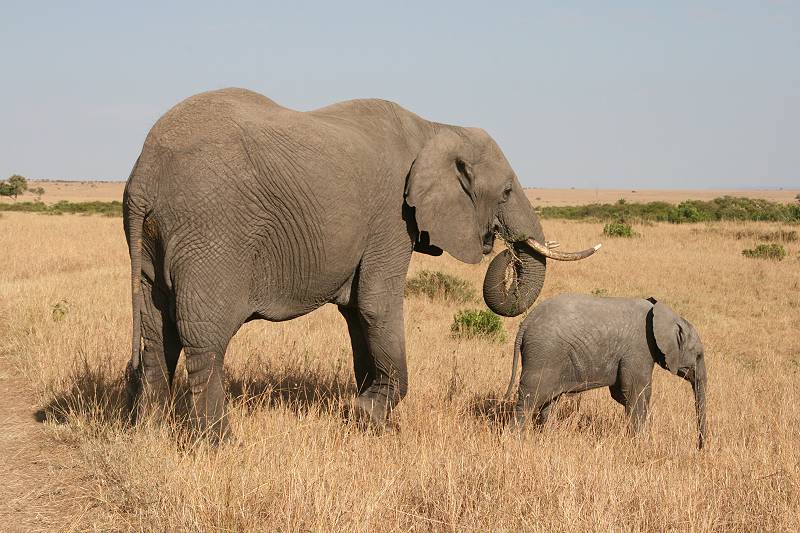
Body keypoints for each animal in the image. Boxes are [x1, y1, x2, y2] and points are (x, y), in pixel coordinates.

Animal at [123, 87, 600, 438]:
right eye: (505, 192)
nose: (503, 248)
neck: (437, 127)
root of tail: (145, 173)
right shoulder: (391, 217)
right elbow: (376, 305)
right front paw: (374, 414)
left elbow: (357, 313)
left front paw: (366, 417)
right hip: (212, 230)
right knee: (204, 337)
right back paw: (219, 443)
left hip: (155, 241)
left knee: (155, 333)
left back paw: (148, 435)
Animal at [506, 294, 708, 446]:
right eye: (699, 355)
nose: (699, 448)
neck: (668, 316)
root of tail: (526, 323)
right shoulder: (640, 350)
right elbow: (637, 393)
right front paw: (641, 444)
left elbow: (623, 394)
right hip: (543, 354)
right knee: (528, 400)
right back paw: (516, 441)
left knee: (549, 402)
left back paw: (544, 438)